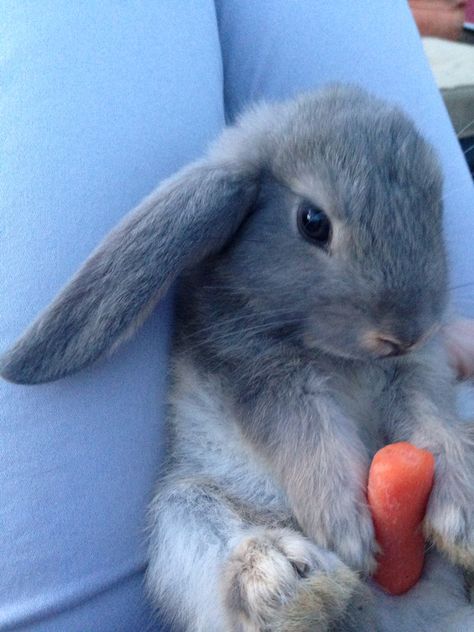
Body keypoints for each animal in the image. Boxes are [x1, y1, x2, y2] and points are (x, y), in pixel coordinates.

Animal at [0, 85, 474, 632]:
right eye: (312, 222)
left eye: (435, 207)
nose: (406, 332)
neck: (337, 355)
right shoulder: (258, 370)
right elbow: (308, 435)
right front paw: (345, 528)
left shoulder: (416, 372)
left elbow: (431, 419)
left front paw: (463, 510)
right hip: (183, 510)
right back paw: (289, 581)